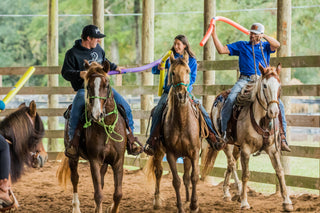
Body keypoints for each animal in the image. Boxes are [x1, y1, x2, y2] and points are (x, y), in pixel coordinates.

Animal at [56, 60, 127, 213]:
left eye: (106, 85)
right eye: (88, 86)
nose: (96, 114)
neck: (106, 126)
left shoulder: (118, 160)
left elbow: (118, 194)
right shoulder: (94, 160)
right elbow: (98, 194)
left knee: (101, 179)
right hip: (73, 157)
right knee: (75, 179)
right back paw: (76, 207)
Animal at [146, 52, 205, 213]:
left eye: (188, 71)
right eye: (172, 72)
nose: (182, 95)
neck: (181, 123)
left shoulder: (194, 152)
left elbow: (194, 177)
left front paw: (194, 204)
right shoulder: (171, 154)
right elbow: (176, 181)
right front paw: (180, 207)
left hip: (186, 156)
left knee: (187, 176)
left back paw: (188, 199)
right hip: (158, 151)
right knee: (159, 172)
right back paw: (157, 201)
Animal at [204, 62, 294, 211]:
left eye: (279, 86)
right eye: (264, 85)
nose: (274, 112)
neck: (262, 120)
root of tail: (219, 97)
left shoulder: (273, 149)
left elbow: (280, 171)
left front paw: (287, 202)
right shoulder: (245, 149)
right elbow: (246, 174)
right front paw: (245, 202)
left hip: (236, 146)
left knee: (230, 165)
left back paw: (227, 193)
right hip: (226, 143)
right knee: (232, 164)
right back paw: (239, 193)